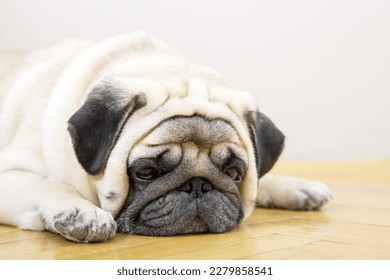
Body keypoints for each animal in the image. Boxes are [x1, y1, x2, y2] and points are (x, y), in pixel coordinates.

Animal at [0, 33, 332, 243]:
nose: (198, 185)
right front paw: (80, 211)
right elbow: (51, 185)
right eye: (146, 173)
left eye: (235, 173)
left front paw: (292, 186)